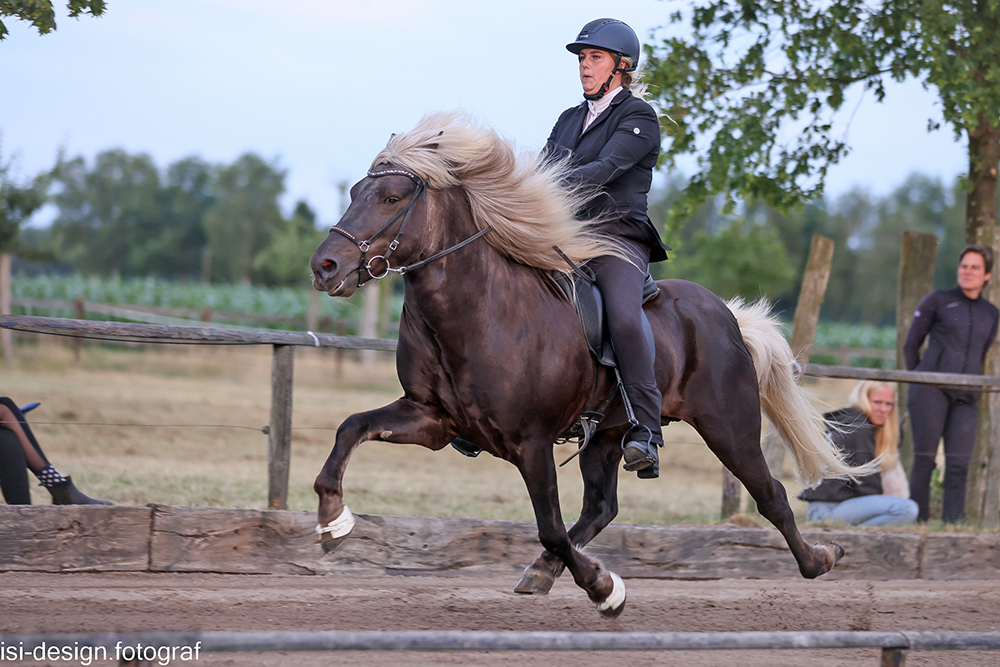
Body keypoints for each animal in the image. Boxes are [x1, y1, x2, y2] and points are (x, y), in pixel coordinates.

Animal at [308, 109, 872, 616]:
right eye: (354, 192)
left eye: (391, 197)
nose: (324, 266)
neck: (477, 311)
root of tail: (725, 314)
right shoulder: (432, 419)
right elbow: (350, 427)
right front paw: (333, 520)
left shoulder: (530, 442)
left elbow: (550, 528)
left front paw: (605, 589)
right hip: (604, 435)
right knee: (602, 507)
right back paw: (542, 571)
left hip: (727, 425)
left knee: (770, 494)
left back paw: (819, 559)